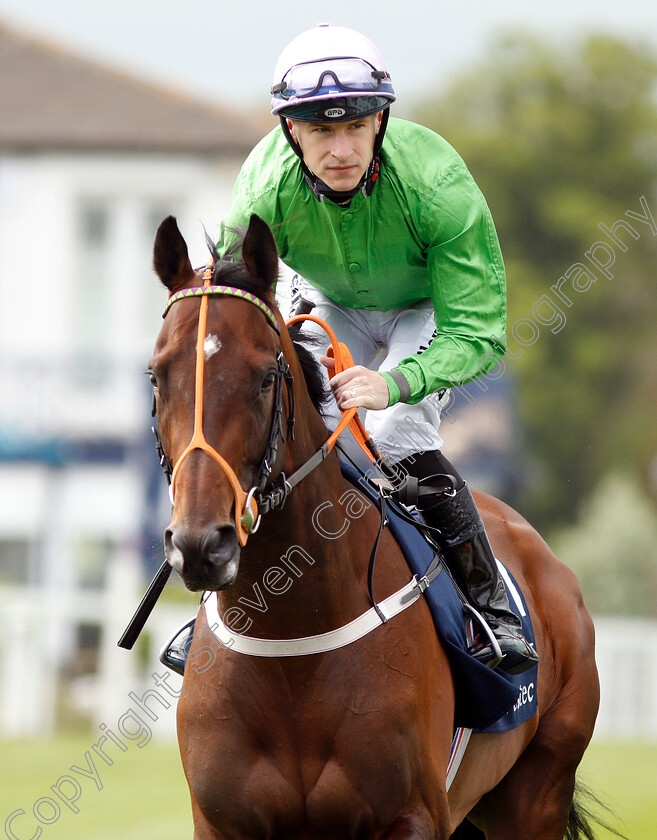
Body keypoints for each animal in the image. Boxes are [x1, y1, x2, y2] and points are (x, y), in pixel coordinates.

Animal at [151, 215, 604, 840]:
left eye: (265, 377)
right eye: (157, 375)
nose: (200, 544)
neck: (293, 642)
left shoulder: (410, 816)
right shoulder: (222, 823)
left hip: (538, 791)